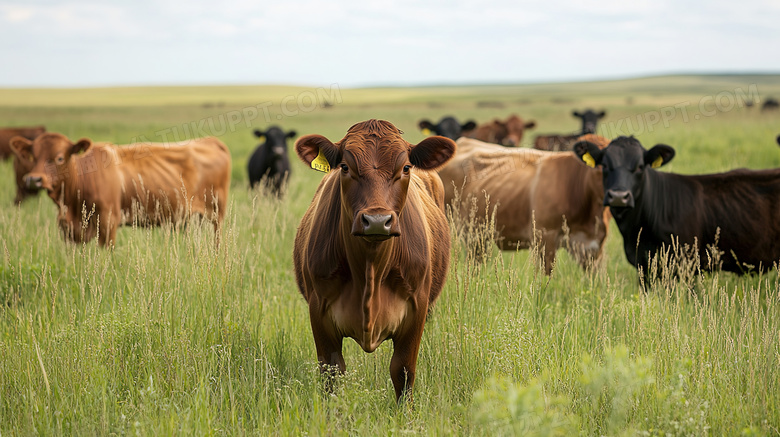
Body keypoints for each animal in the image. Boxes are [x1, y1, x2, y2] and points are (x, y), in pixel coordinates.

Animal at [10, 133, 230, 245]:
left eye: (59, 158)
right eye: (33, 157)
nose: (34, 179)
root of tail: (210, 140)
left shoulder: (108, 221)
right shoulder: (69, 230)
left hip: (216, 213)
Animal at [292, 119, 454, 402]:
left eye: (405, 167)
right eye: (345, 166)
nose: (377, 221)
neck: (370, 270)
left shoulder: (417, 307)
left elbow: (403, 371)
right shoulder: (318, 309)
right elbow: (332, 372)